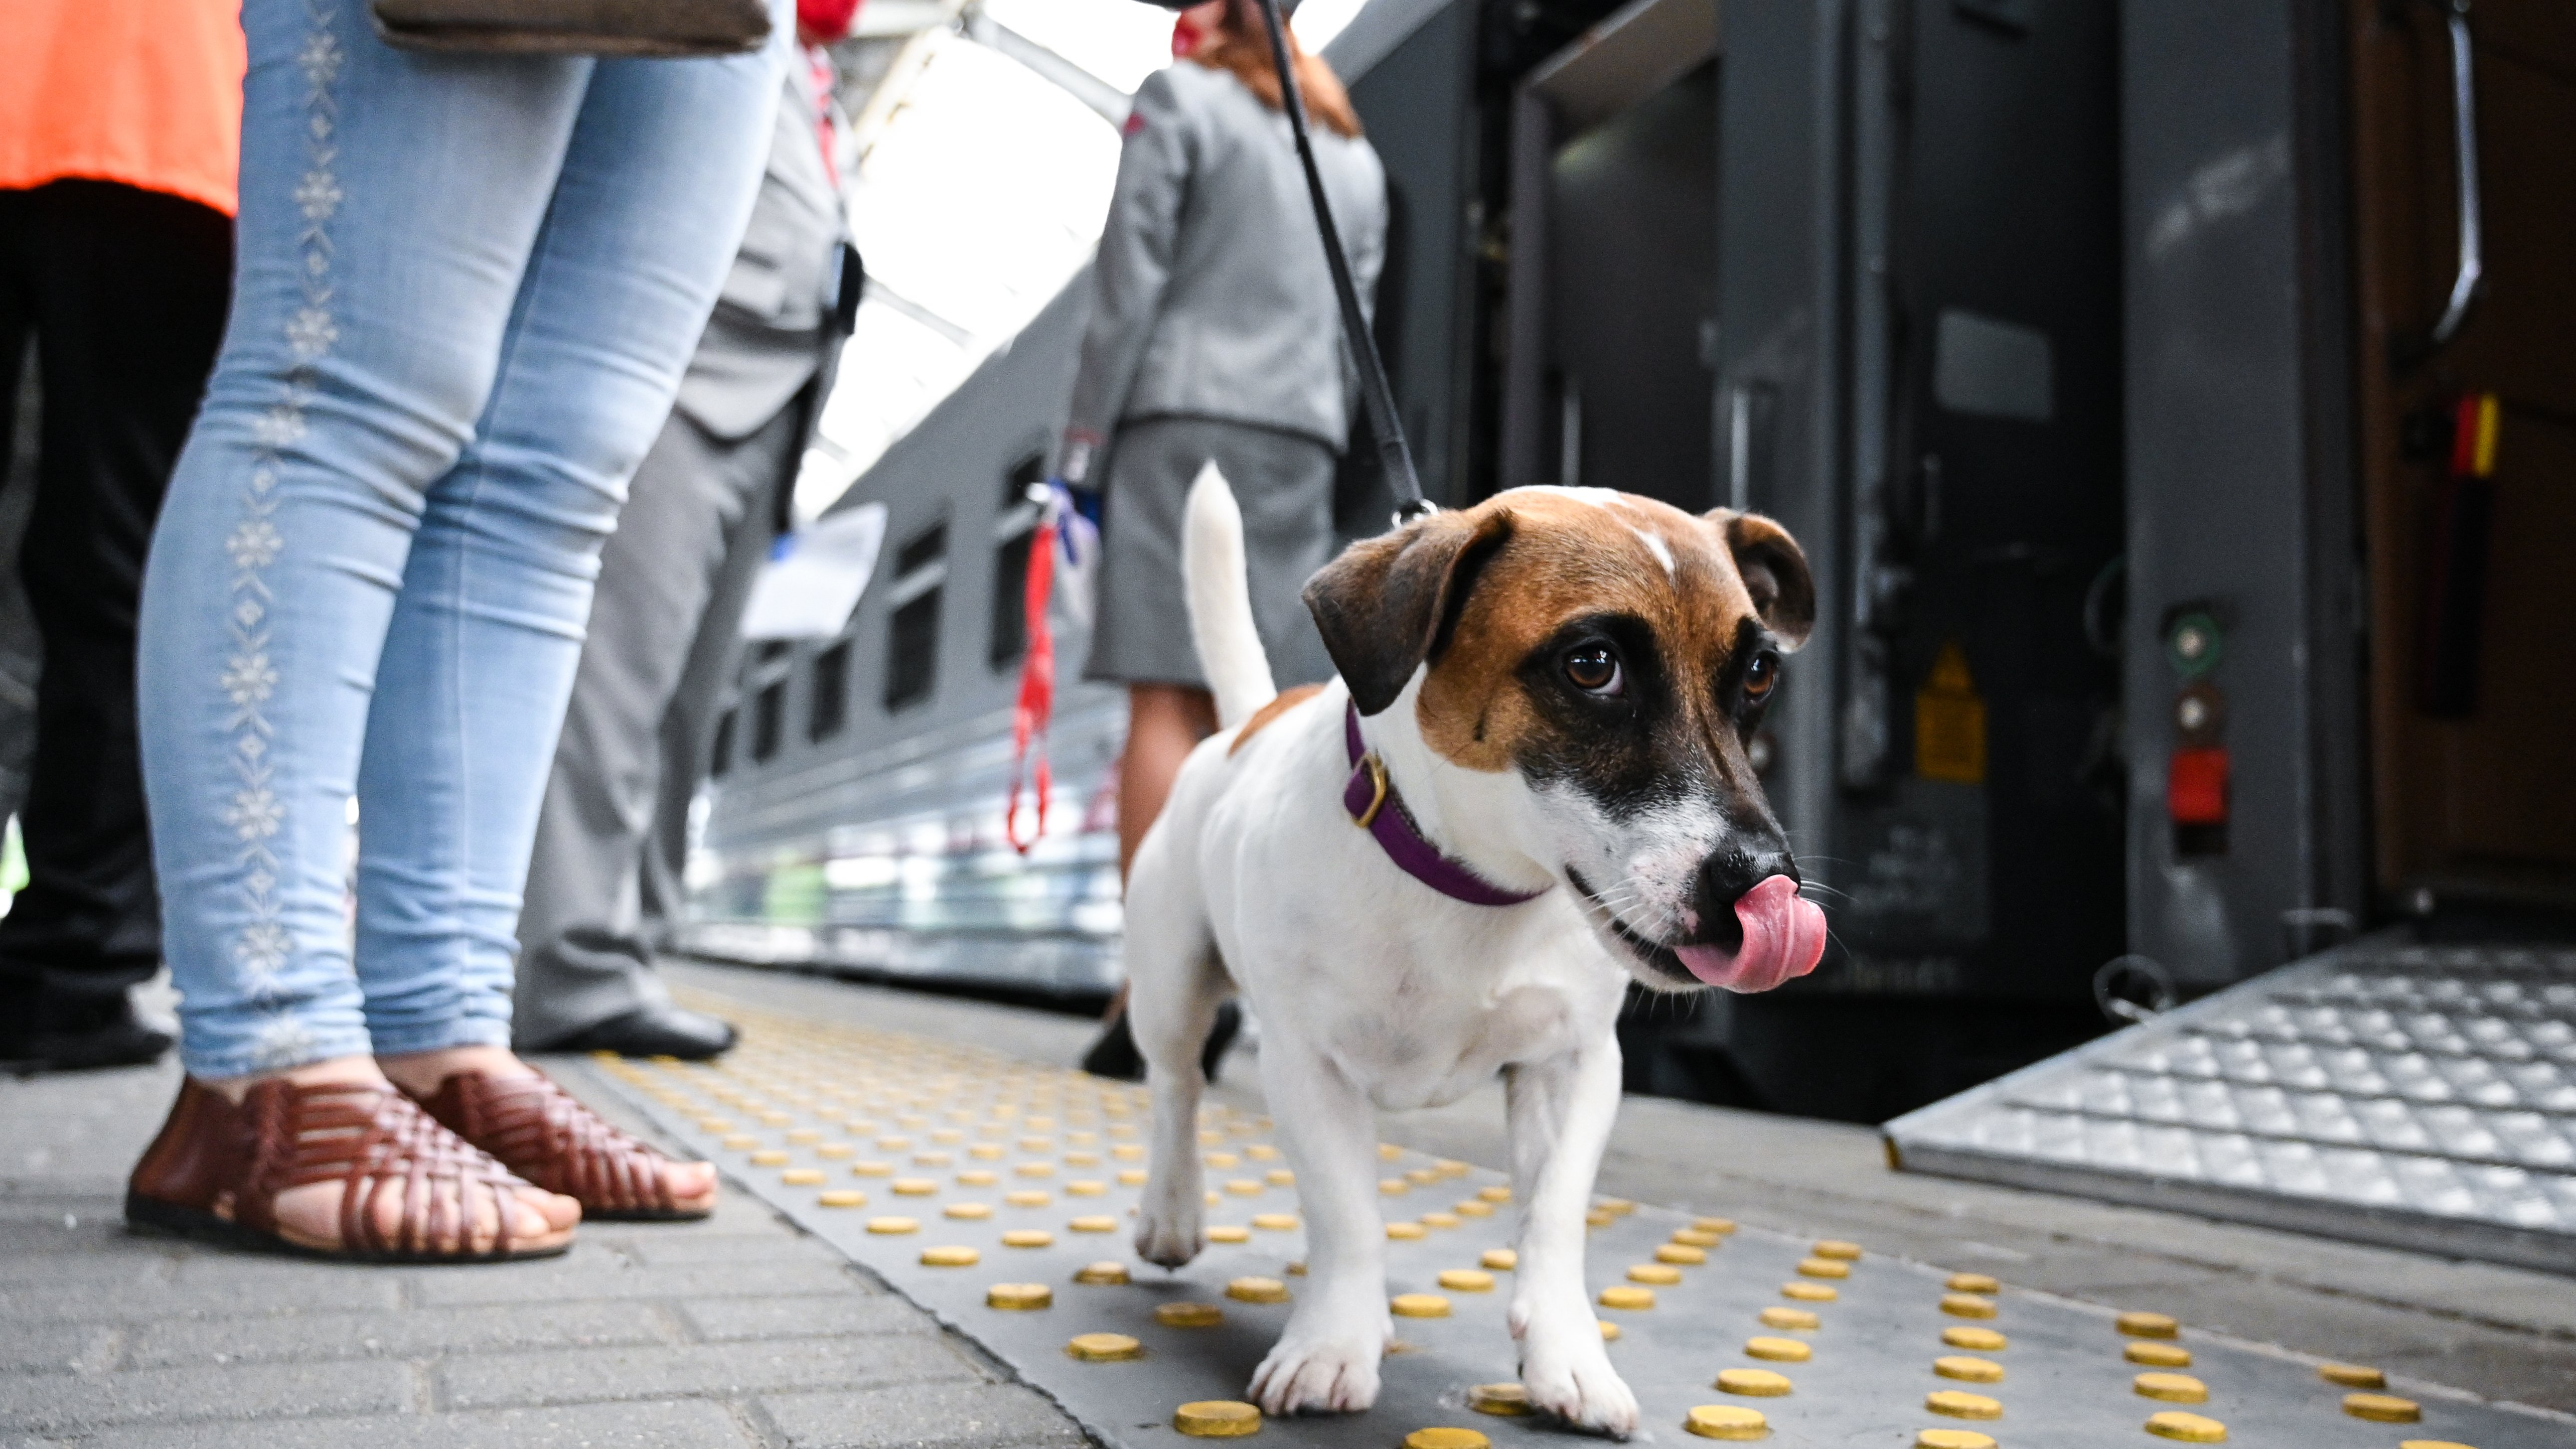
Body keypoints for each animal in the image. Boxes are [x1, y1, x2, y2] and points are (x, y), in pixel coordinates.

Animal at [1128, 471, 1834, 1431]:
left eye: (1758, 674)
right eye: (1591, 665)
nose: (1764, 882)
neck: (1474, 885)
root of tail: (1246, 723)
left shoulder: (1573, 1066)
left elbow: (1554, 1217)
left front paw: (1568, 1358)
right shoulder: (1306, 1067)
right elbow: (1346, 1214)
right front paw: (1332, 1346)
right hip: (1168, 987)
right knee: (1176, 1087)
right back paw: (1170, 1211)